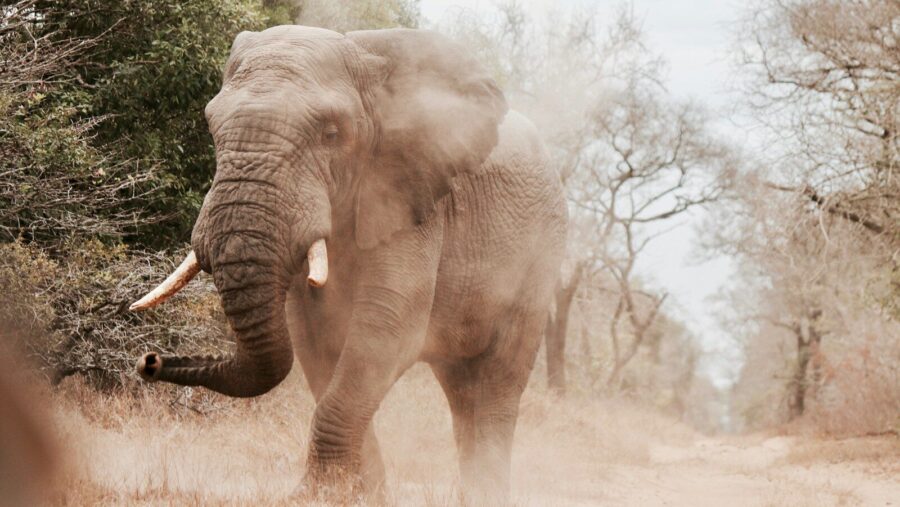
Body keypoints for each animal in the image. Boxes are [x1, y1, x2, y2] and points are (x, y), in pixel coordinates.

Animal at [130, 24, 568, 504]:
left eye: (332, 134)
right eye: (212, 128)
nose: (149, 360)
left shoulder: (411, 200)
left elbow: (386, 330)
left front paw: (317, 494)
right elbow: (314, 341)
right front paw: (357, 494)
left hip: (539, 256)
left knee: (496, 381)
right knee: (462, 386)